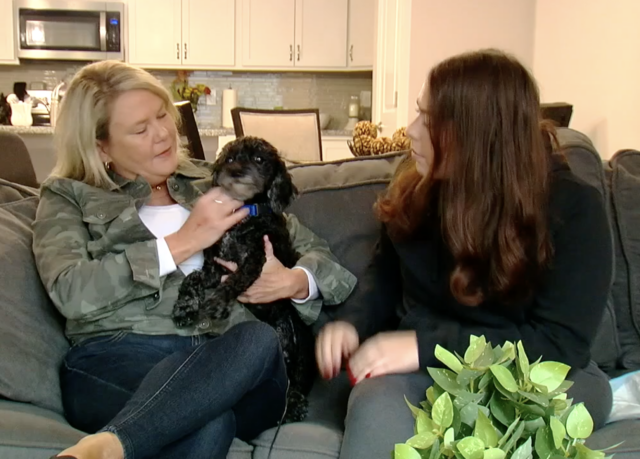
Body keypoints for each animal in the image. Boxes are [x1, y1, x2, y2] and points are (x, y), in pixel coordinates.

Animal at [172, 137, 318, 424]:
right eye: (229, 159)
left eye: (260, 159)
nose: (237, 172)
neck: (246, 213)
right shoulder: (213, 269)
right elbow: (191, 279)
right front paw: (184, 308)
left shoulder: (256, 260)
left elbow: (236, 280)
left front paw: (217, 303)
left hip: (299, 343)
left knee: (297, 380)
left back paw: (294, 406)